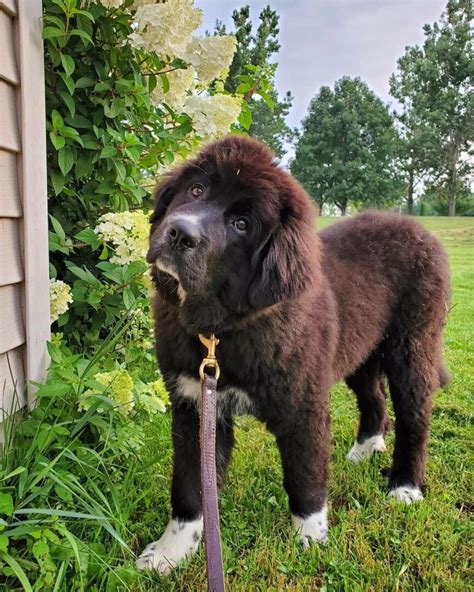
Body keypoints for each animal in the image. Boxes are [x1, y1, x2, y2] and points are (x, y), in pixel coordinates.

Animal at [135, 135, 450, 572]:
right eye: (196, 190)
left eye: (242, 224)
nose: (180, 233)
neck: (220, 330)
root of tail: (416, 227)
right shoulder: (194, 403)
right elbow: (189, 483)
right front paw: (171, 551)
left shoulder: (303, 405)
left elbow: (305, 474)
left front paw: (311, 539)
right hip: (359, 349)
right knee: (374, 398)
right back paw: (365, 449)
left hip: (412, 347)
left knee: (415, 418)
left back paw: (404, 486)